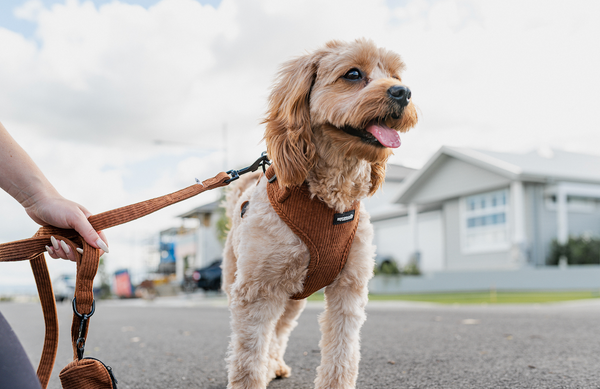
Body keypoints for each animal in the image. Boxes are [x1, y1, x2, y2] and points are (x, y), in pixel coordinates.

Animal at [219, 37, 418, 388]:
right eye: (353, 74)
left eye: (395, 76)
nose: (403, 92)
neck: (330, 200)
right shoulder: (256, 290)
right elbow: (247, 358)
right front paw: (253, 373)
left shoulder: (349, 287)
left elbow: (342, 352)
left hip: (293, 300)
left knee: (279, 331)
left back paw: (274, 365)